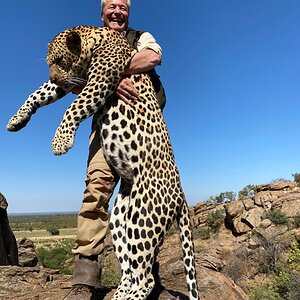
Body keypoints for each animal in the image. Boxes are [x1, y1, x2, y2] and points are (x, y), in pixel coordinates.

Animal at [6, 26, 199, 300]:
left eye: (59, 60)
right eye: (50, 63)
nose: (54, 77)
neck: (94, 39)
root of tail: (181, 193)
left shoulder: (98, 81)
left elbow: (74, 106)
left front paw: (60, 141)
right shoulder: (73, 80)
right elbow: (38, 93)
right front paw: (16, 120)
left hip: (144, 218)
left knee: (147, 278)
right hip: (121, 219)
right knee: (130, 268)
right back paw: (119, 294)